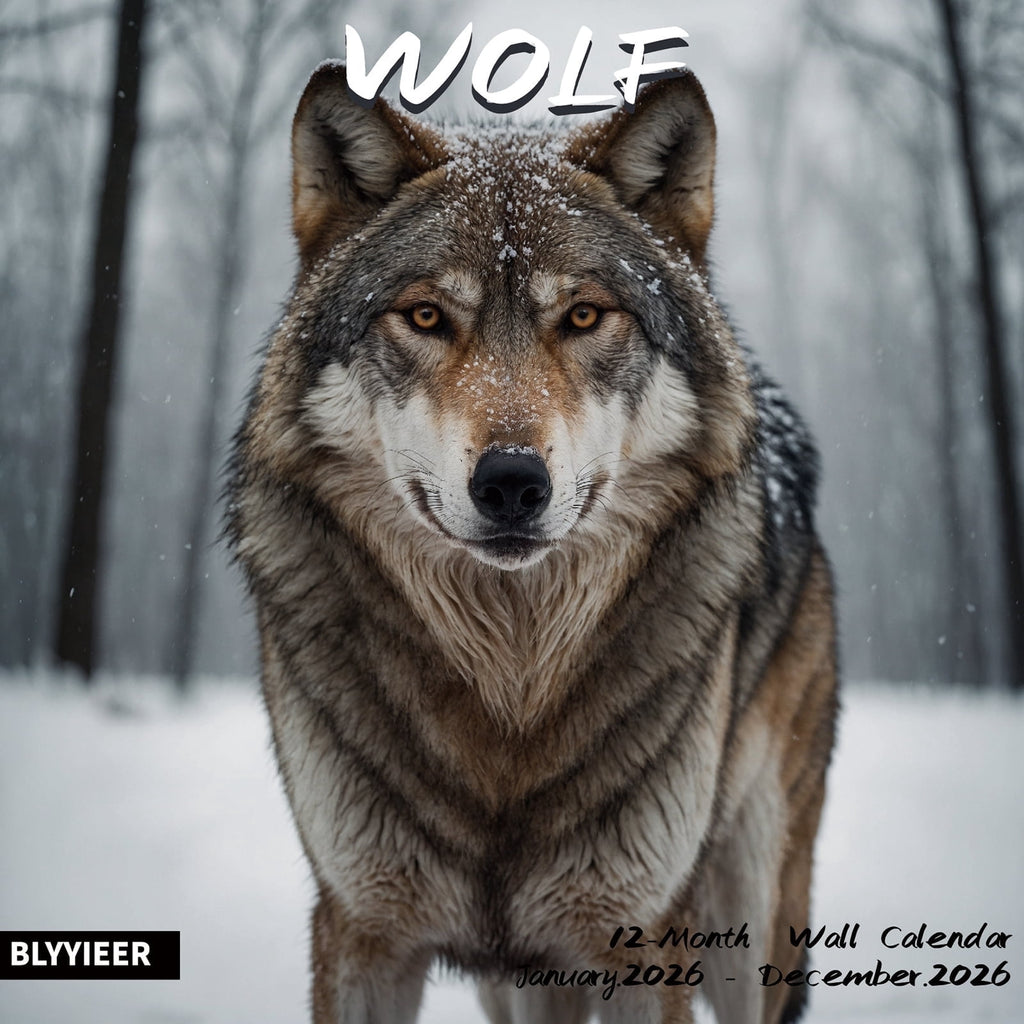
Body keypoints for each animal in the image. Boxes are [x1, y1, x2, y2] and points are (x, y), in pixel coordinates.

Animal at [227, 61, 838, 1024]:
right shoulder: (362, 929)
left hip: (748, 919)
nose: (511, 483)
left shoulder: (642, 935)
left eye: (584, 317)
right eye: (426, 316)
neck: (509, 695)